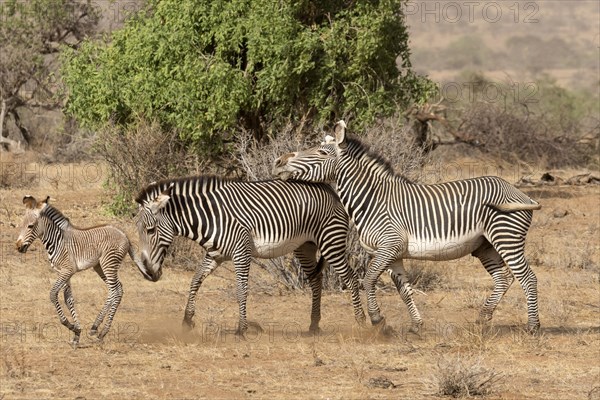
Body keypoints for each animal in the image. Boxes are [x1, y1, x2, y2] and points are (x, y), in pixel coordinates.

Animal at [15, 195, 142, 346]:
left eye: (30, 226)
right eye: (21, 225)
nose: (18, 247)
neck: (57, 240)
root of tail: (124, 234)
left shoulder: (67, 270)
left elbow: (53, 294)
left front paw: (70, 325)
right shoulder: (63, 272)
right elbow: (68, 299)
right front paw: (77, 333)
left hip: (108, 263)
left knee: (115, 291)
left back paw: (101, 331)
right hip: (99, 266)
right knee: (117, 289)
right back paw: (96, 329)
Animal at [133, 175, 364, 334]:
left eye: (151, 230)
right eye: (138, 230)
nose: (148, 274)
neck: (211, 218)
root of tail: (330, 189)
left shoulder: (241, 252)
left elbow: (241, 290)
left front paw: (241, 328)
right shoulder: (215, 255)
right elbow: (195, 280)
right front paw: (187, 320)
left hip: (330, 242)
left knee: (351, 278)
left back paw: (363, 320)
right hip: (304, 246)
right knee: (316, 280)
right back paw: (314, 325)